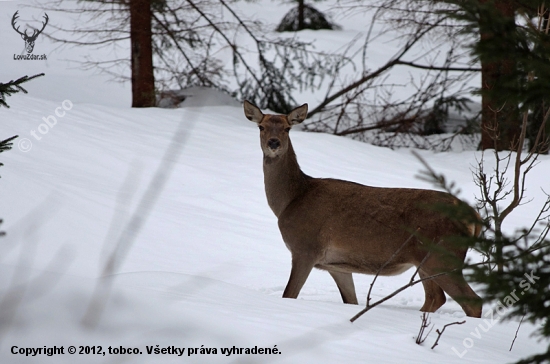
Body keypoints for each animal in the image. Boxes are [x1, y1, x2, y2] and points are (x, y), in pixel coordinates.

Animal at [245, 100, 484, 318]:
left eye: (287, 128)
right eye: (261, 127)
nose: (273, 143)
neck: (290, 200)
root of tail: (474, 216)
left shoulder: (305, 248)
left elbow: (289, 294)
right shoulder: (336, 266)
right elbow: (351, 300)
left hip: (442, 256)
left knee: (472, 301)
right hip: (426, 262)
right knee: (436, 297)